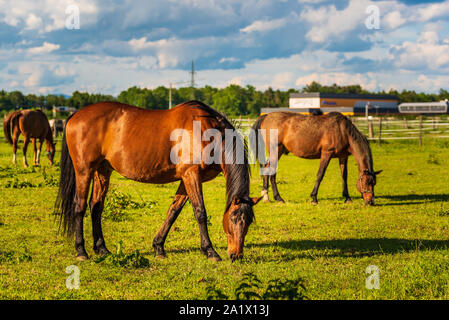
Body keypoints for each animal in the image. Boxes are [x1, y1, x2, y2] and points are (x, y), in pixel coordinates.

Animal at [54, 101, 260, 262]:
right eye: (233, 218)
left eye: (249, 222)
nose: (236, 255)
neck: (207, 132)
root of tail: (75, 115)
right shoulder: (191, 175)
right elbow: (200, 212)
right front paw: (210, 251)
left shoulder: (186, 179)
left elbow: (173, 211)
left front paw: (159, 247)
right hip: (84, 171)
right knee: (80, 206)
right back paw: (81, 251)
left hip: (102, 170)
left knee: (96, 206)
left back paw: (102, 249)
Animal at [250, 111, 380, 206]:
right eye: (367, 182)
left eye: (374, 183)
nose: (370, 202)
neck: (342, 130)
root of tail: (266, 116)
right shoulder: (326, 154)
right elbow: (320, 174)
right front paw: (314, 198)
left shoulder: (343, 157)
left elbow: (344, 176)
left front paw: (347, 198)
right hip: (276, 150)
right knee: (270, 171)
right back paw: (277, 198)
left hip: (279, 151)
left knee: (267, 169)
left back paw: (267, 196)